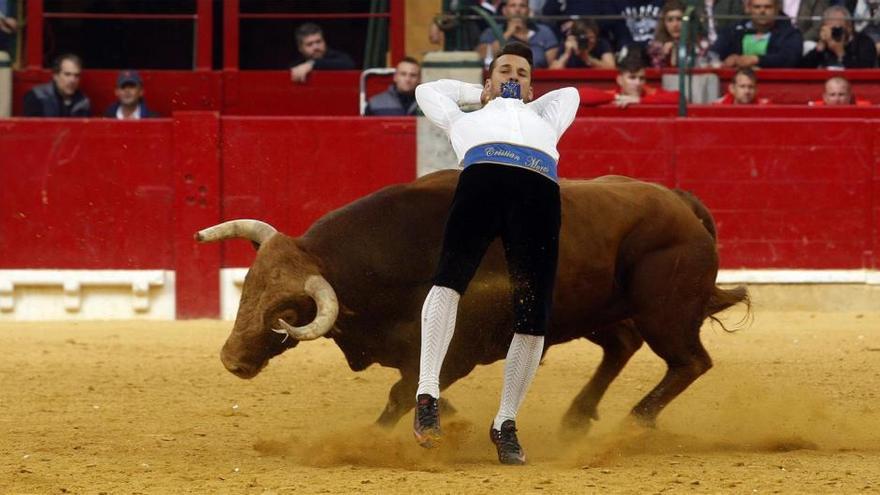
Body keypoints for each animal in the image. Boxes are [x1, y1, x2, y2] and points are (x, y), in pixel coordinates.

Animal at [198, 171, 748, 434]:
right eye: (249, 287)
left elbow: (401, 394)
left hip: (665, 312)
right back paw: (576, 418)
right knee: (622, 345)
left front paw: (372, 438)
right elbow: (418, 388)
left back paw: (633, 422)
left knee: (689, 362)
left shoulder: (459, 349)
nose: (231, 360)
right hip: (596, 310)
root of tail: (681, 203)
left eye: (288, 315)